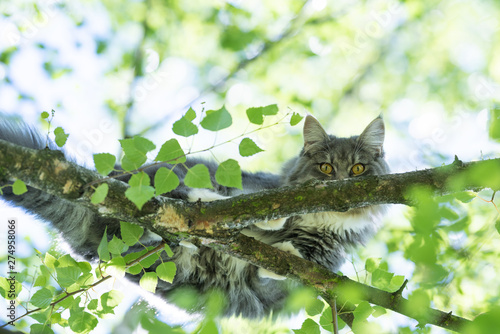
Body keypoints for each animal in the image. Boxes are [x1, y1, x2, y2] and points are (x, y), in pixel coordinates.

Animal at [0, 114, 388, 318]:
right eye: (326, 168)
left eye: (357, 169)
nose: (341, 183)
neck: (314, 220)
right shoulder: (256, 190)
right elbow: (253, 212)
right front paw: (271, 221)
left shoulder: (307, 274)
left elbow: (287, 266)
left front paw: (289, 251)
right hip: (162, 178)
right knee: (183, 202)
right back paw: (205, 214)